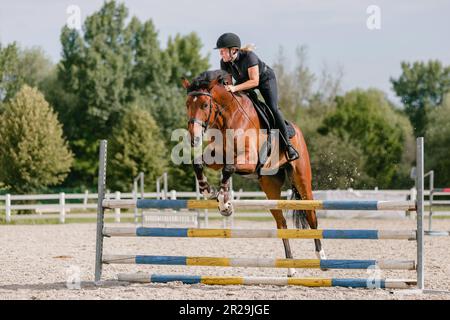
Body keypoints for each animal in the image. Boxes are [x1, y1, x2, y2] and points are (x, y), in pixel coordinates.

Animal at [181, 70, 326, 278]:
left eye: (205, 105)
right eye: (187, 105)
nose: (194, 138)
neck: (229, 118)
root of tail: (297, 130)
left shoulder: (250, 160)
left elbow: (229, 168)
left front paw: (224, 202)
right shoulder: (217, 156)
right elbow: (199, 163)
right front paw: (208, 191)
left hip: (302, 180)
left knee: (311, 214)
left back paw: (322, 257)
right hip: (270, 187)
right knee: (281, 223)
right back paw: (290, 267)